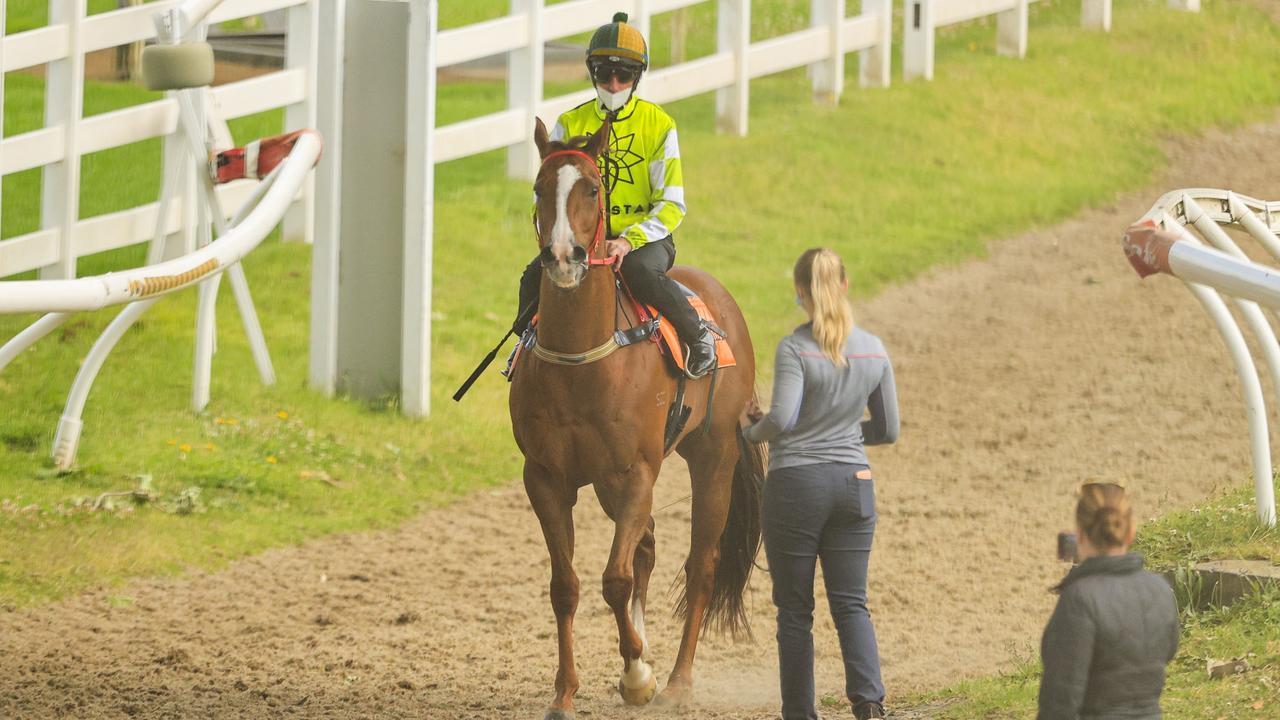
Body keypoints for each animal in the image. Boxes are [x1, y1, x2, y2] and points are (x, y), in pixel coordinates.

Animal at [509, 119, 762, 717]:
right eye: (538, 187)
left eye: (592, 189)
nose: (563, 256)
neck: (582, 364)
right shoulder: (546, 479)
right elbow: (566, 586)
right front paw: (566, 692)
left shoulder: (636, 474)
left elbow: (615, 580)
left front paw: (639, 677)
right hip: (607, 483)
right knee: (646, 546)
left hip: (714, 457)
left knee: (701, 564)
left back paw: (677, 681)